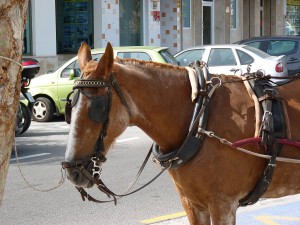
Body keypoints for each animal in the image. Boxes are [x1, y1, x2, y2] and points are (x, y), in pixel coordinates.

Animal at [63, 42, 300, 225]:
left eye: (98, 107)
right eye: (70, 105)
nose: (73, 170)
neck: (199, 118)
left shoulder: (223, 205)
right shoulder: (192, 204)